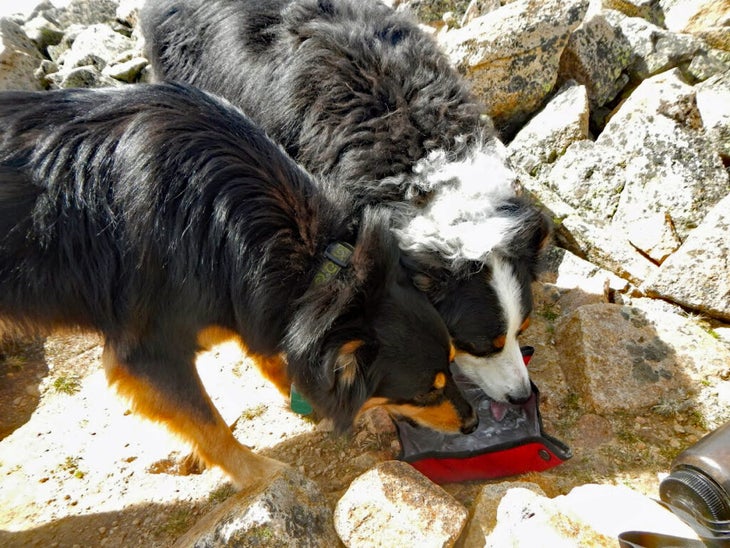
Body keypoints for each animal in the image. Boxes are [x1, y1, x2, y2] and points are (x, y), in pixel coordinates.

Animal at [0, 82, 474, 488]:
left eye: (454, 362)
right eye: (424, 392)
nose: (473, 422)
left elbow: (272, 356)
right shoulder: (149, 350)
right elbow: (207, 422)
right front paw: (259, 473)